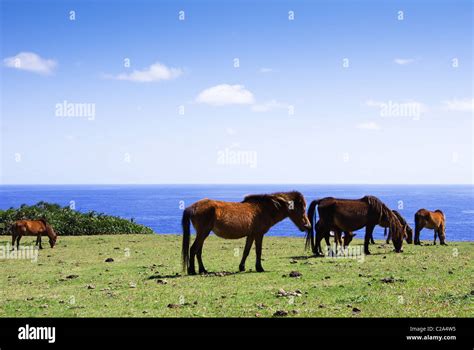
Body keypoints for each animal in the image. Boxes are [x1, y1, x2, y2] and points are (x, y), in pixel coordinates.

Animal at [181, 190, 312, 274]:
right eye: (301, 208)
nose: (308, 226)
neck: (263, 209)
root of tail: (191, 207)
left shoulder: (251, 235)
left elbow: (246, 251)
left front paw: (241, 267)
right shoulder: (259, 234)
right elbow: (258, 251)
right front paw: (259, 268)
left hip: (203, 234)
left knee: (198, 251)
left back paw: (203, 270)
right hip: (203, 233)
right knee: (193, 249)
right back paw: (192, 271)